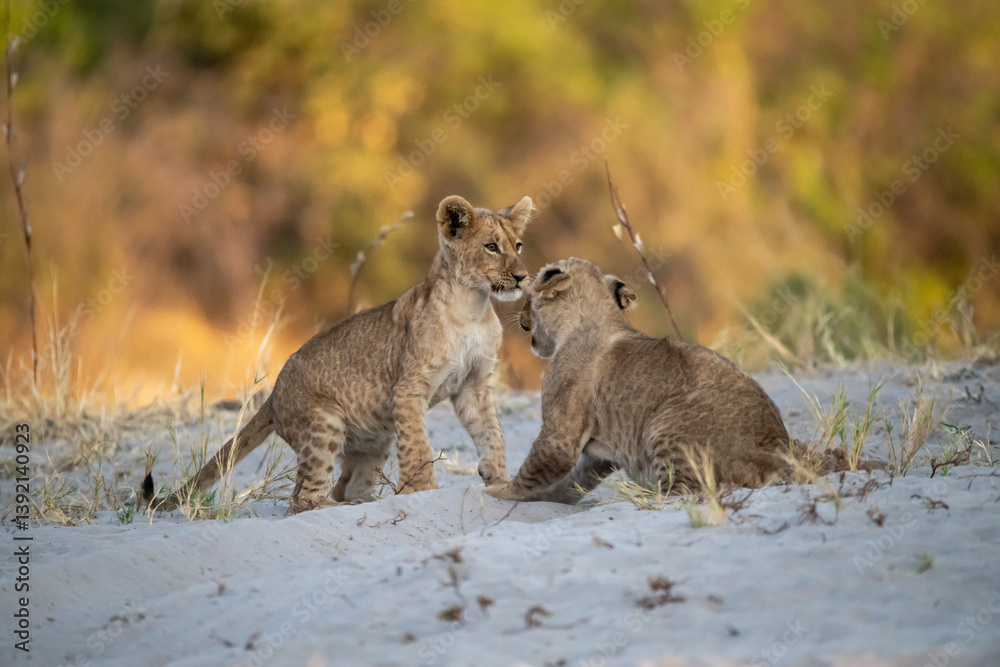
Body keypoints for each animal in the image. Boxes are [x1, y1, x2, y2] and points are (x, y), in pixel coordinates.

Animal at [153, 195, 534, 513]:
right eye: (491, 247)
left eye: (518, 245)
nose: (522, 276)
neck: (474, 306)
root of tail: (273, 395)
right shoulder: (409, 387)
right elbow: (418, 446)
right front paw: (422, 491)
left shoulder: (473, 385)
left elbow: (492, 433)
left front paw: (499, 480)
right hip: (324, 425)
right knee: (301, 499)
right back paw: (337, 508)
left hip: (374, 439)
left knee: (347, 486)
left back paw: (363, 503)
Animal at [485, 257, 791, 504]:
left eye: (528, 298)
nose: (521, 315)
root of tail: (777, 449)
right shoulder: (598, 454)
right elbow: (569, 483)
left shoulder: (558, 437)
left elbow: (531, 473)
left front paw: (497, 490)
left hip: (663, 423)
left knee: (686, 491)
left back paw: (641, 497)